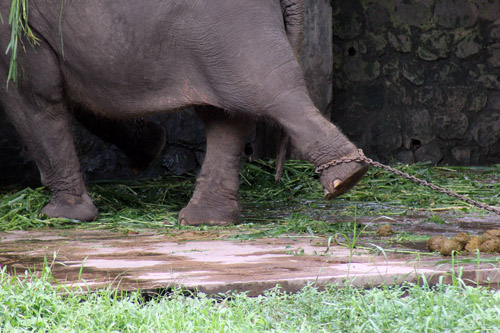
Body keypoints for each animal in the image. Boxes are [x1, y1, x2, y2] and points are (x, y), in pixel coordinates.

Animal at [0, 0, 368, 224]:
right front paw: (151, 147)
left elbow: (31, 93)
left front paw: (61, 216)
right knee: (227, 115)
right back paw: (206, 219)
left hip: (234, 25)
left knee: (270, 90)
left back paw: (346, 177)